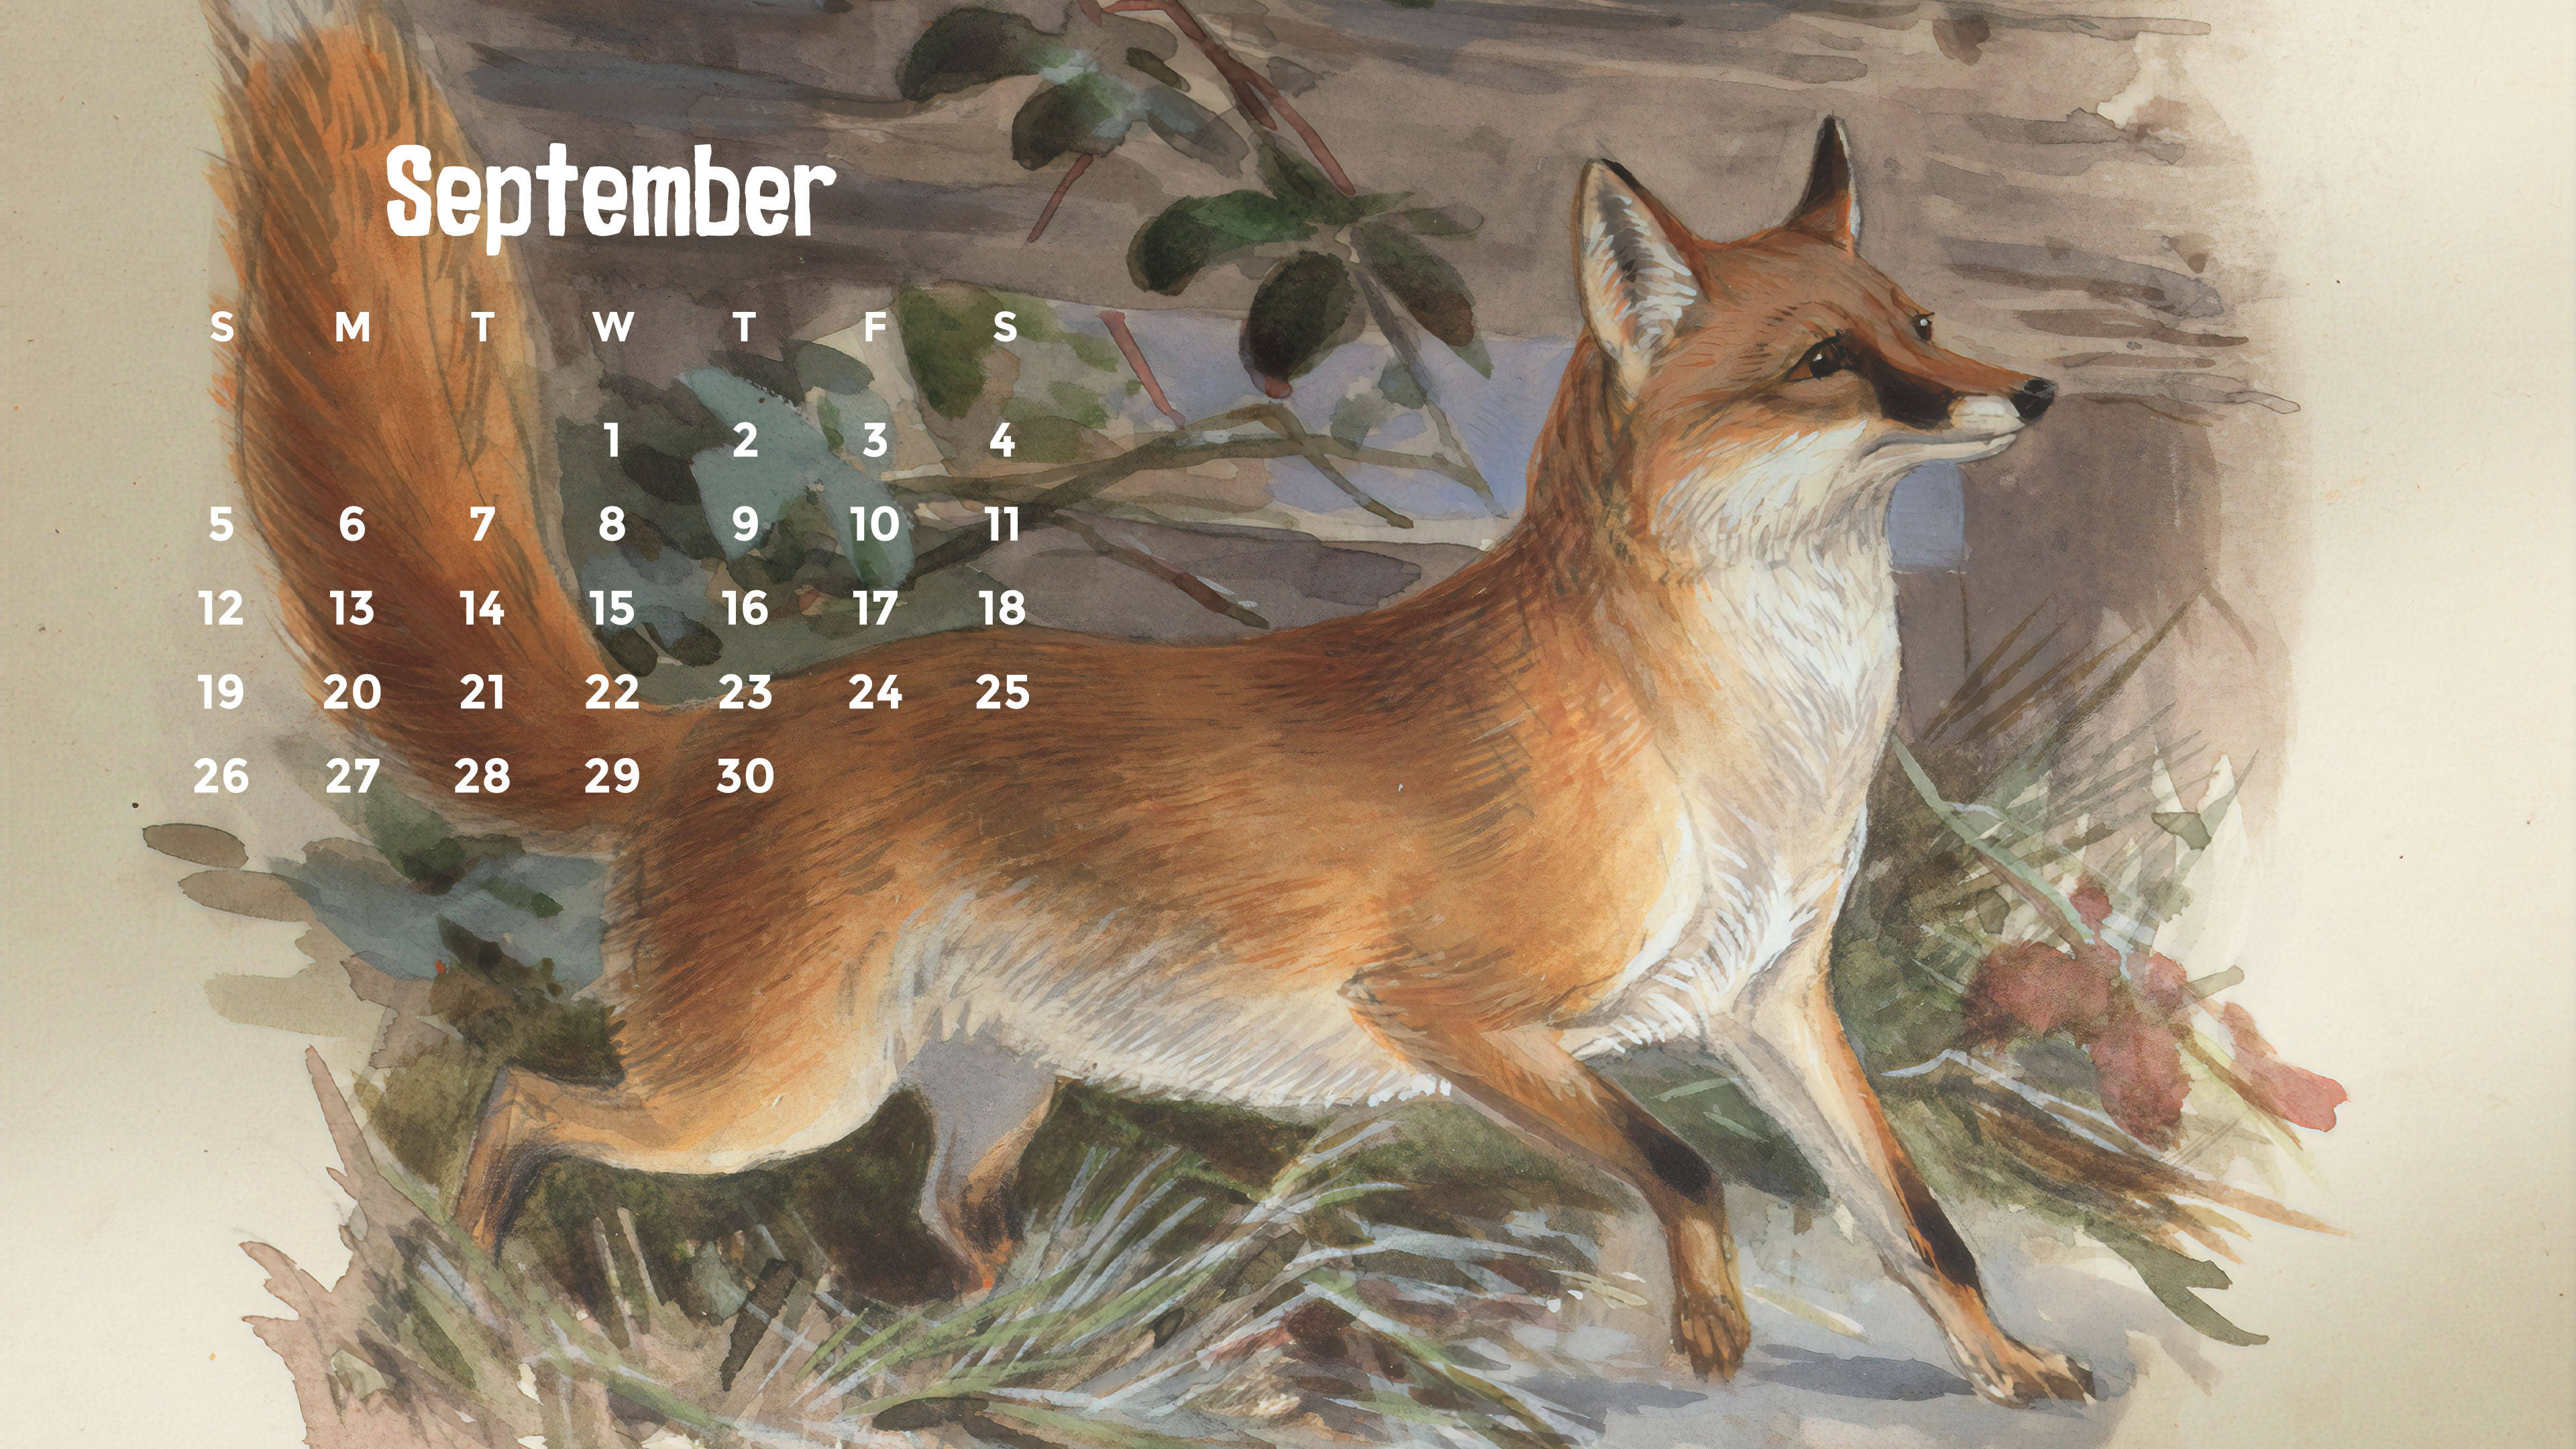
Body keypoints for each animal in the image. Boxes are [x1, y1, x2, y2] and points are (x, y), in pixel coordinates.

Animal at [215, 4, 2087, 1407]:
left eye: (1919, 318)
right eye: (1826, 364)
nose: (2037, 390)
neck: (1747, 743)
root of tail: (715, 725)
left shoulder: (1773, 1004)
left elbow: (1920, 1221)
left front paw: (2006, 1368)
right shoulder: (1446, 1009)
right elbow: (1682, 1169)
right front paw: (1707, 1322)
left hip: (984, 1102)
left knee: (957, 1236)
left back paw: (1046, 1361)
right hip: (768, 1094)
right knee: (528, 1108)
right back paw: (464, 1286)